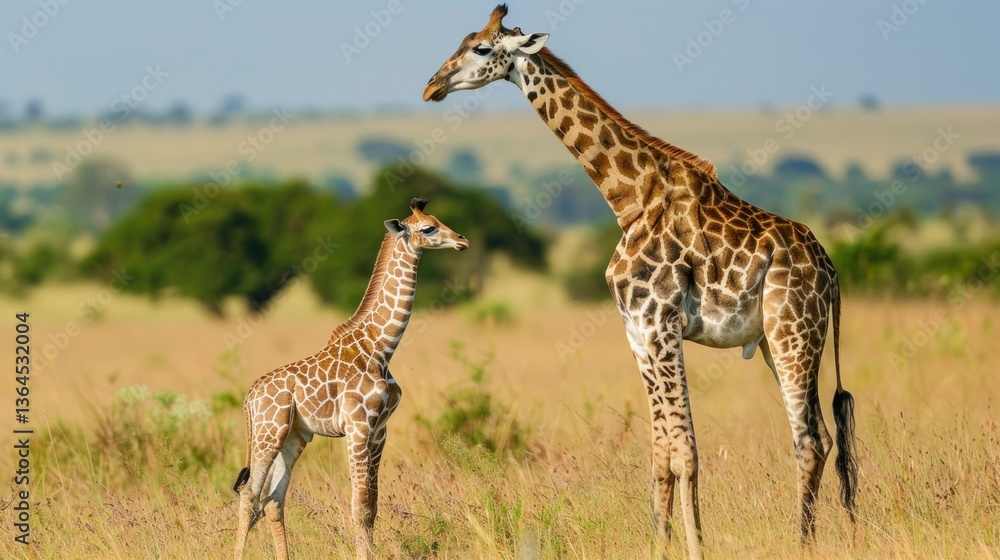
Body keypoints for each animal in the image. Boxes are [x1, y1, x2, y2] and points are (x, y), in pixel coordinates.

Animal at [232, 198, 469, 560]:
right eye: (429, 228)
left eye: (438, 220)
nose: (462, 240)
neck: (380, 347)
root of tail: (249, 397)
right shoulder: (357, 425)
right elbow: (359, 504)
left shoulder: (380, 429)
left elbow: (371, 506)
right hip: (267, 433)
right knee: (249, 497)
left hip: (294, 436)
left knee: (273, 500)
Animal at [423, 6, 858, 558]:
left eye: (481, 47)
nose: (432, 86)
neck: (628, 199)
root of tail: (831, 273)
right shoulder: (636, 330)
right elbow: (660, 453)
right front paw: (659, 544)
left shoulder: (662, 324)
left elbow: (685, 451)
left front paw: (696, 548)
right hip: (776, 341)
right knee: (820, 436)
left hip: (792, 333)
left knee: (810, 441)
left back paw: (802, 542)